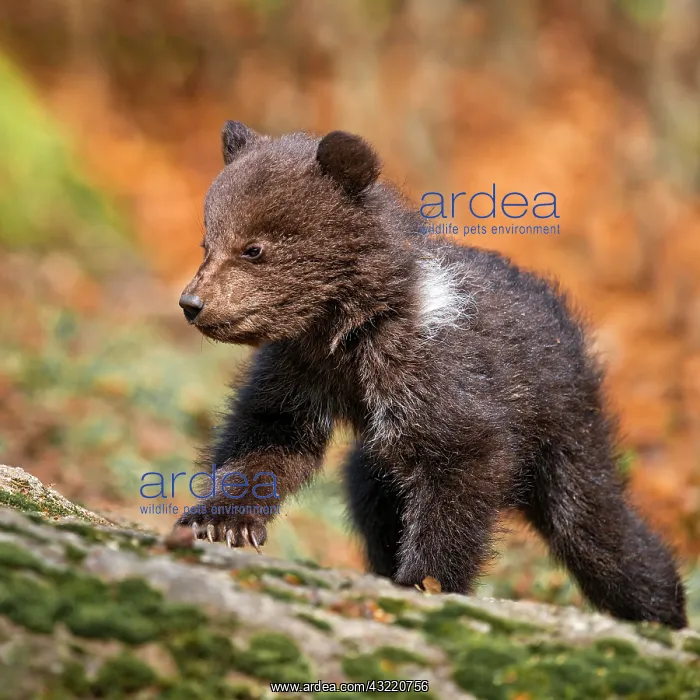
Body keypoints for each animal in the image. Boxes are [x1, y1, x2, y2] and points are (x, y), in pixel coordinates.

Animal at [174, 120, 687, 629]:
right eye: (206, 242)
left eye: (253, 248)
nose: (191, 303)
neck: (346, 331)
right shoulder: (300, 372)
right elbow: (266, 437)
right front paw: (220, 520)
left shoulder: (433, 375)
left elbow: (461, 467)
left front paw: (426, 580)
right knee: (373, 501)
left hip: (562, 422)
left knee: (589, 520)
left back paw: (664, 607)